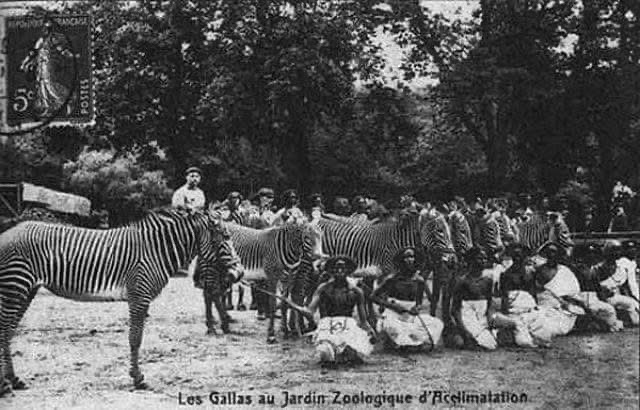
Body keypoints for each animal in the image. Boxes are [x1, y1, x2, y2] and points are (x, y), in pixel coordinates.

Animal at [0, 208, 244, 394]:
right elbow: (135, 339)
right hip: (16, 286)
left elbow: (135, 339)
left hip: (26, 290)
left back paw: (14, 380)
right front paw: (138, 378)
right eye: (225, 238)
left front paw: (136, 376)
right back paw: (5, 385)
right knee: (5, 330)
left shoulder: (140, 298)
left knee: (8, 330)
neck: (155, 251)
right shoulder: (139, 296)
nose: (240, 273)